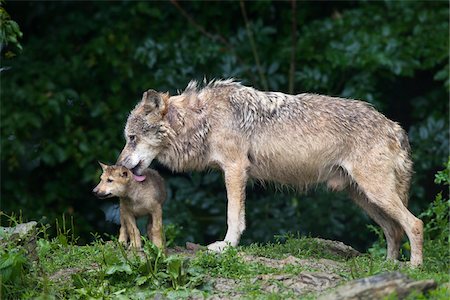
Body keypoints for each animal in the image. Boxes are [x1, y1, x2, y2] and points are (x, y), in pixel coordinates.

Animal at [115, 79, 422, 264]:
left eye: (131, 138)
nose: (120, 167)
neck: (202, 118)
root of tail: (395, 127)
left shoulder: (235, 169)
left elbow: (233, 216)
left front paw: (226, 246)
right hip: (364, 198)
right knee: (394, 231)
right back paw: (388, 266)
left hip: (375, 193)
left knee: (414, 224)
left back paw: (414, 268)